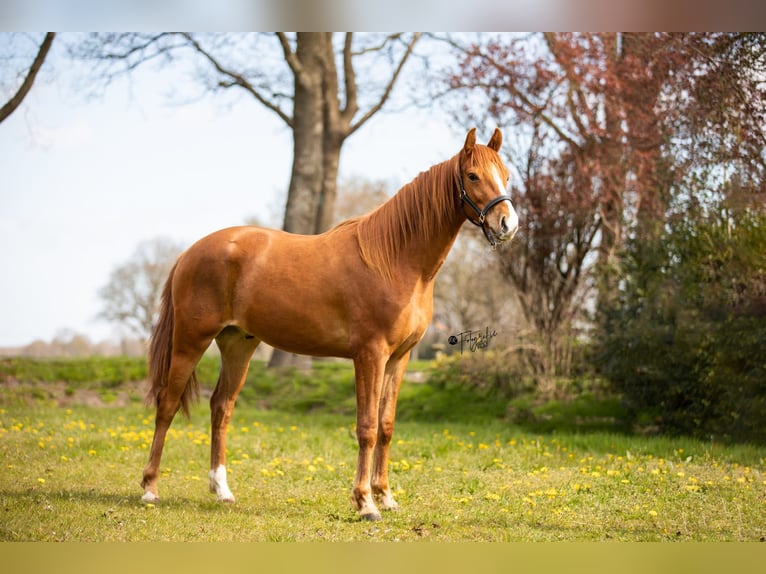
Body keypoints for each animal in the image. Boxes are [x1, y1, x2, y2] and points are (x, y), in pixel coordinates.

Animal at [140, 127, 518, 521]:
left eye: (505, 176)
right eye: (473, 176)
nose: (508, 225)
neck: (394, 259)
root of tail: (191, 251)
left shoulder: (399, 359)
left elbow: (386, 426)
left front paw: (386, 497)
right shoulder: (369, 355)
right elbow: (367, 428)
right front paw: (365, 503)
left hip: (237, 344)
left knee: (221, 407)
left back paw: (222, 490)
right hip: (190, 340)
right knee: (167, 404)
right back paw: (150, 489)